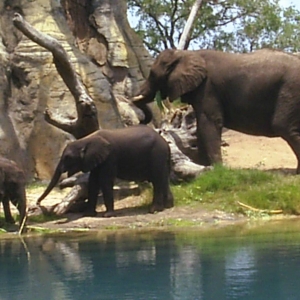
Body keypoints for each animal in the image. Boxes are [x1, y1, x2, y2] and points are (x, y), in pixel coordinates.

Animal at [37, 123, 173, 216]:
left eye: (67, 158)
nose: (38, 203)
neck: (85, 140)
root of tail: (165, 143)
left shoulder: (110, 157)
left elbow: (104, 180)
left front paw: (108, 215)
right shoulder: (96, 159)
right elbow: (93, 182)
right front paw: (88, 214)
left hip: (156, 155)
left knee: (157, 179)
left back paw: (154, 210)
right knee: (164, 178)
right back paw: (167, 206)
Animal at [132, 48, 300, 172]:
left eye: (153, 74)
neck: (186, 53)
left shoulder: (208, 88)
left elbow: (209, 123)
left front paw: (218, 169)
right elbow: (201, 126)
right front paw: (203, 165)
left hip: (291, 89)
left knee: (283, 126)